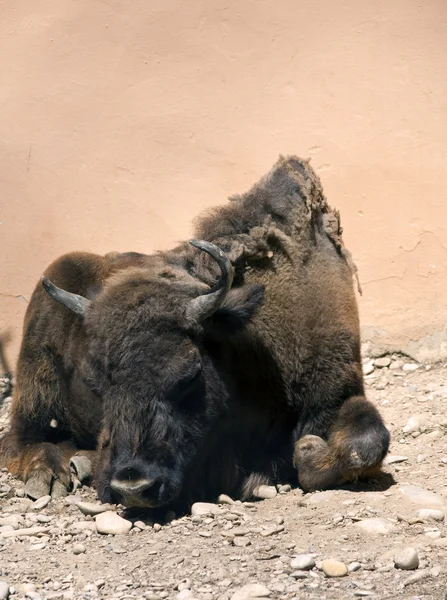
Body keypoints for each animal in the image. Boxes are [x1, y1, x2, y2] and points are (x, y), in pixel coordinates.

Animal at [0, 156, 390, 510]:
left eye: (190, 375)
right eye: (96, 384)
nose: (133, 487)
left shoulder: (337, 395)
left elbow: (369, 441)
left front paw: (306, 451)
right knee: (21, 438)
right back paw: (52, 472)